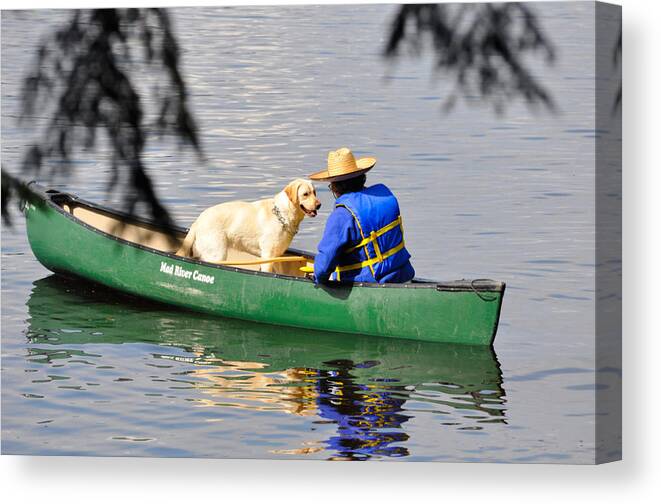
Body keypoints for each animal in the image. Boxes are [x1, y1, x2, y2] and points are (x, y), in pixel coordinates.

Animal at [175, 178, 320, 272]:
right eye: (305, 194)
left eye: (314, 192)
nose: (319, 205)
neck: (282, 214)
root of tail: (198, 220)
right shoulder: (268, 255)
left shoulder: (275, 256)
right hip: (217, 254)